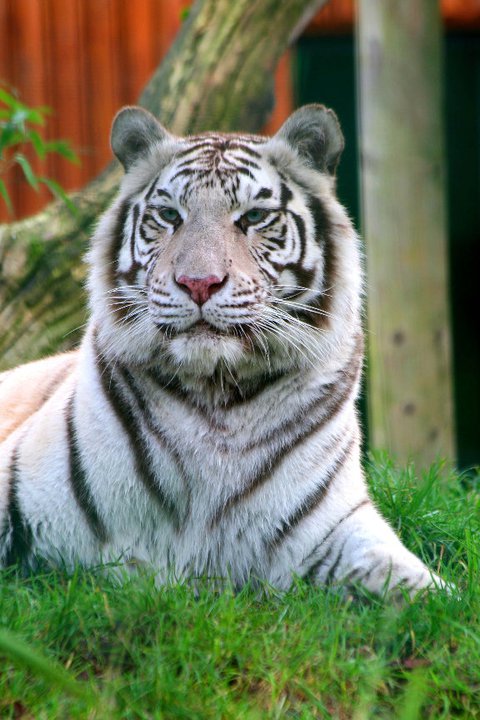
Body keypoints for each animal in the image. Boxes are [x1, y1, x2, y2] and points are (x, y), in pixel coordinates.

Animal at [0, 104, 442, 596]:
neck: (216, 395)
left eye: (253, 217)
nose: (199, 283)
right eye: (169, 215)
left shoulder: (335, 524)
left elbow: (416, 587)